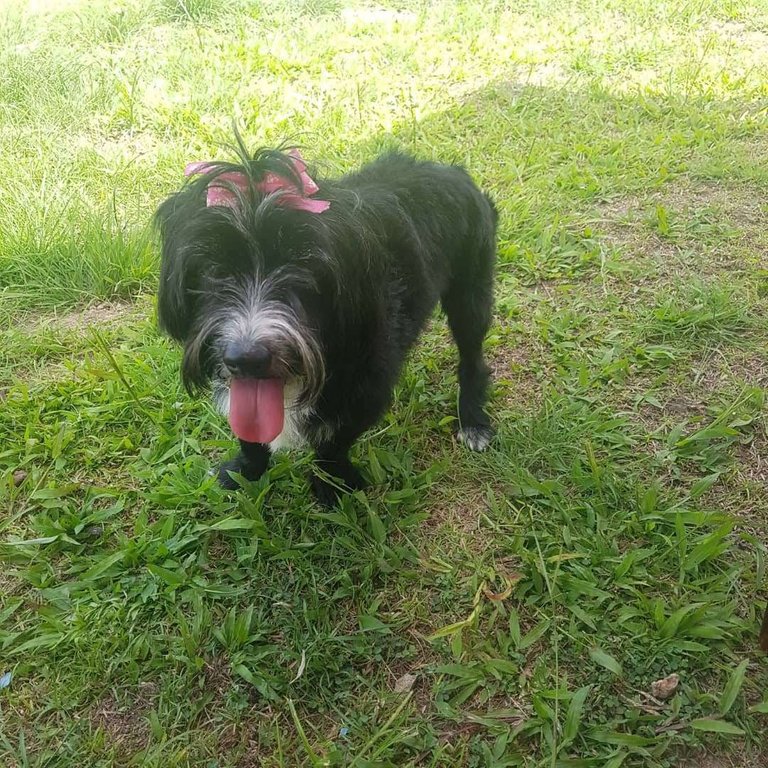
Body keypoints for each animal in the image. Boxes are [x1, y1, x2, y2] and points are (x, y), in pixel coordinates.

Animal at [154, 142, 498, 508]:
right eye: (215, 270)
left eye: (305, 267)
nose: (246, 358)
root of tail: (451, 170)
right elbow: (249, 433)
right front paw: (243, 471)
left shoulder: (363, 388)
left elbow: (334, 443)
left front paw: (331, 485)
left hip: (471, 289)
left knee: (472, 355)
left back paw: (473, 419)